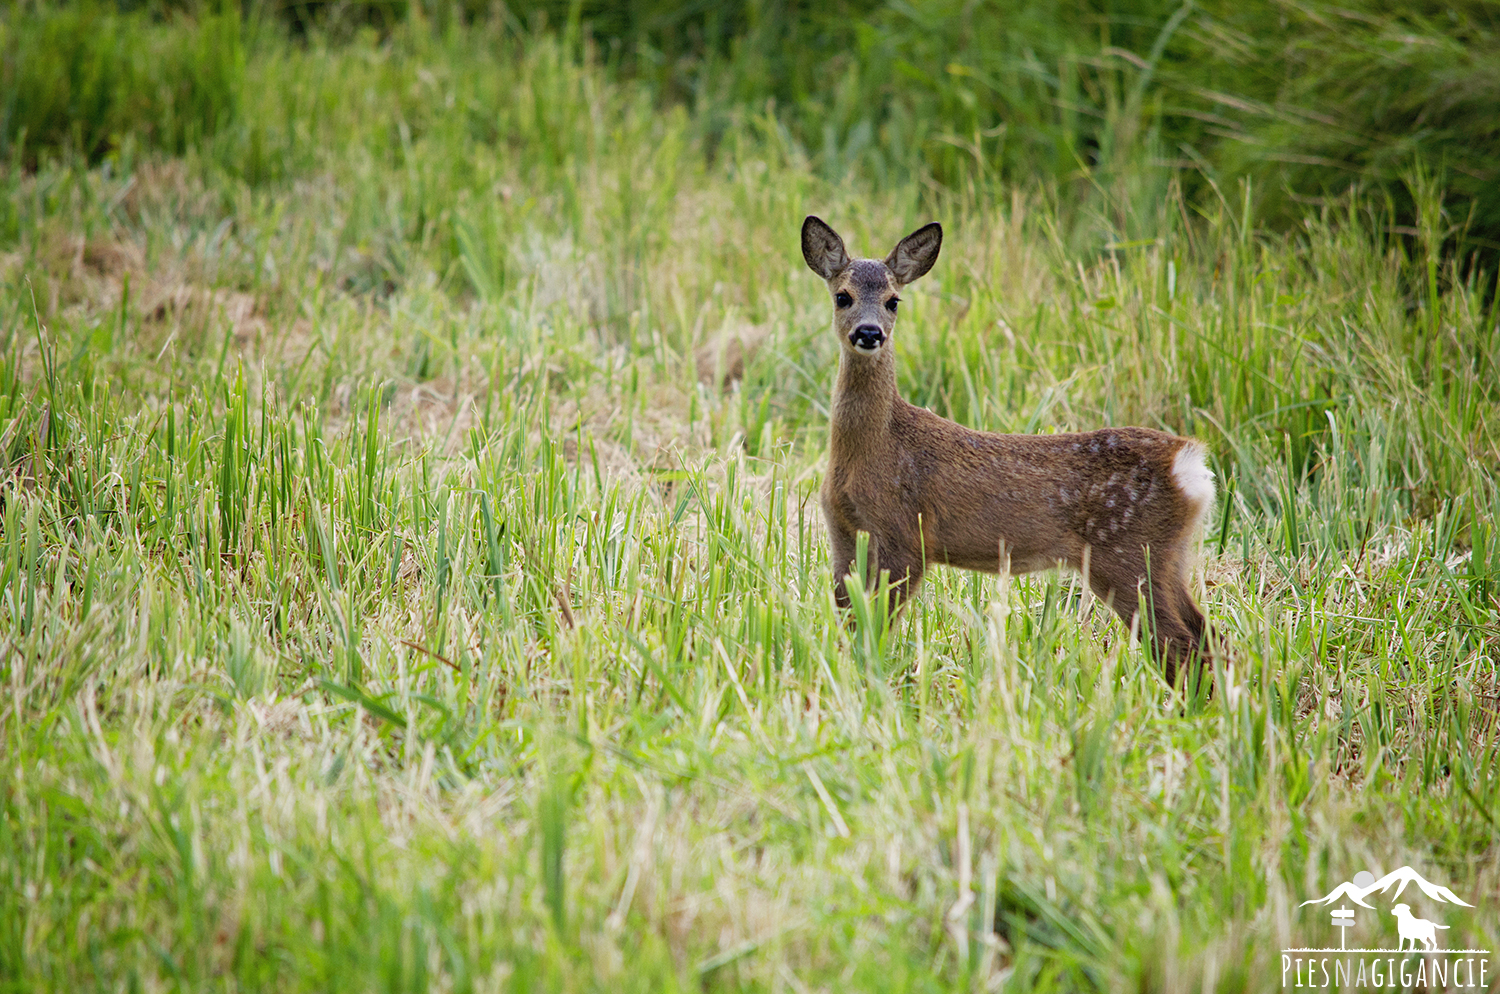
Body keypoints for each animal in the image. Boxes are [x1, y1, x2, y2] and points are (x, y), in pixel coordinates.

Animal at [804, 217, 1212, 683]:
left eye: (893, 301)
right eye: (843, 296)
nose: (869, 333)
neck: (871, 449)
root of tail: (1189, 465)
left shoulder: (905, 535)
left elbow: (875, 628)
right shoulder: (841, 530)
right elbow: (848, 621)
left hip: (1127, 555)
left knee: (1180, 644)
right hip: (1169, 556)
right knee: (1208, 637)